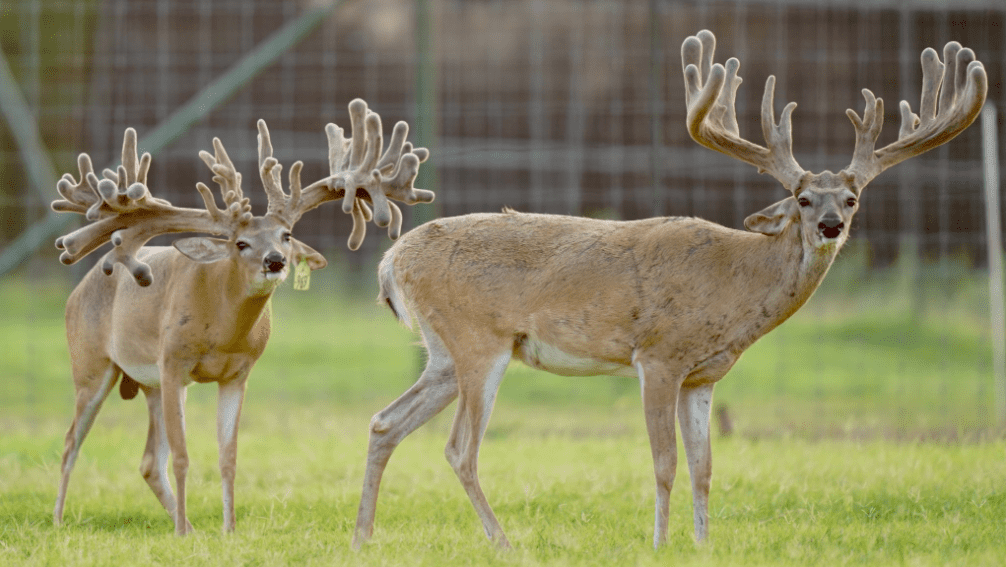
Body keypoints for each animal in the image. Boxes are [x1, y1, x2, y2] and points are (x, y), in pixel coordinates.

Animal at [51, 99, 433, 535]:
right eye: (241, 243)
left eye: (286, 235)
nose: (276, 261)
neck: (221, 331)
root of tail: (79, 288)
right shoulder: (173, 361)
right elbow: (183, 456)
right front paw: (183, 535)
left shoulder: (237, 373)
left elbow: (228, 457)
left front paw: (228, 529)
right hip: (91, 364)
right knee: (71, 442)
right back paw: (60, 519)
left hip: (149, 383)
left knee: (148, 461)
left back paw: (186, 523)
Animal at [351, 31, 987, 549]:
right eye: (804, 199)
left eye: (852, 199)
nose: (831, 225)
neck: (735, 282)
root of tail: (391, 260)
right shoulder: (657, 356)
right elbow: (665, 463)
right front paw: (659, 545)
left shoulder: (703, 376)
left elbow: (705, 467)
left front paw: (705, 546)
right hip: (479, 340)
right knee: (460, 448)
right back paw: (504, 544)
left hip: (442, 356)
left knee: (384, 422)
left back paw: (363, 538)